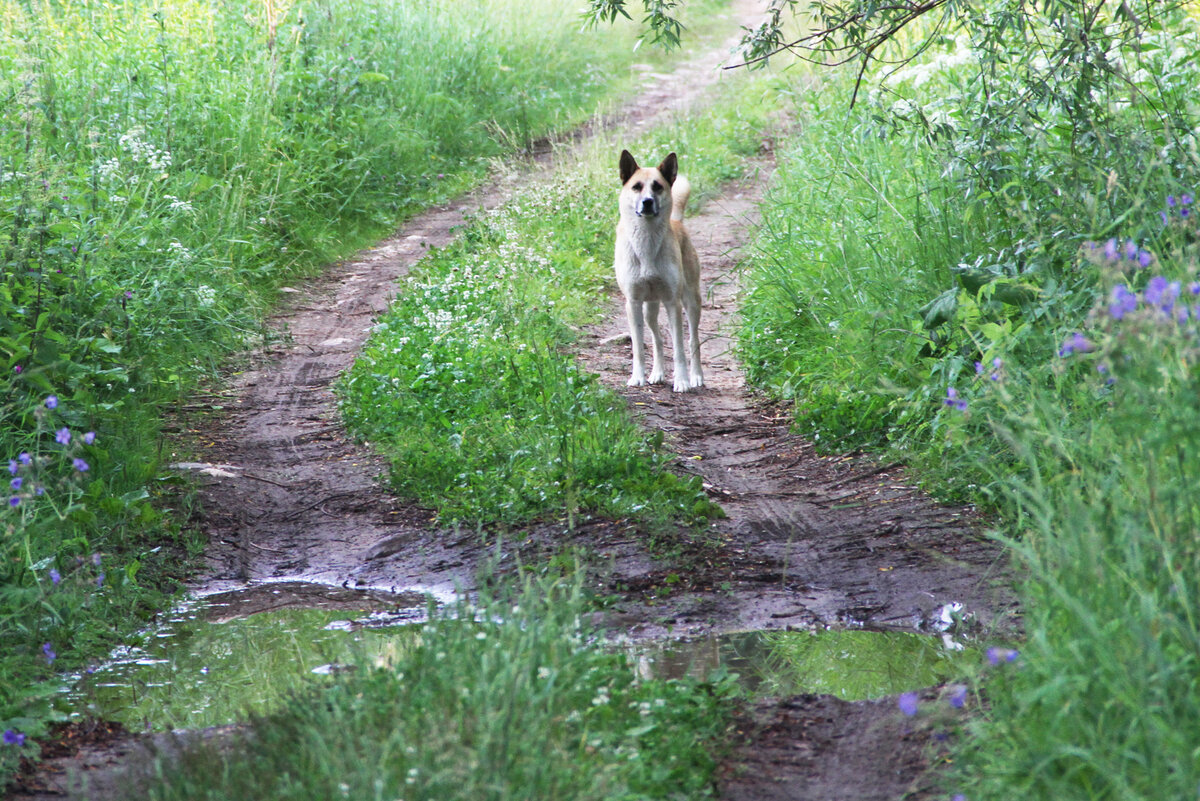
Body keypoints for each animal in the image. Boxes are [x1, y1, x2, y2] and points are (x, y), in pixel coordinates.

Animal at [614, 148, 700, 393]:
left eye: (658, 186)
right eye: (636, 186)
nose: (647, 202)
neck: (647, 241)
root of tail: (677, 222)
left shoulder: (673, 302)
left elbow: (679, 347)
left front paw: (682, 381)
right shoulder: (633, 303)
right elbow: (638, 347)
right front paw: (637, 377)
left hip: (691, 301)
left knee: (693, 340)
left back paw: (696, 376)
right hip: (649, 308)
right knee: (658, 339)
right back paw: (658, 373)